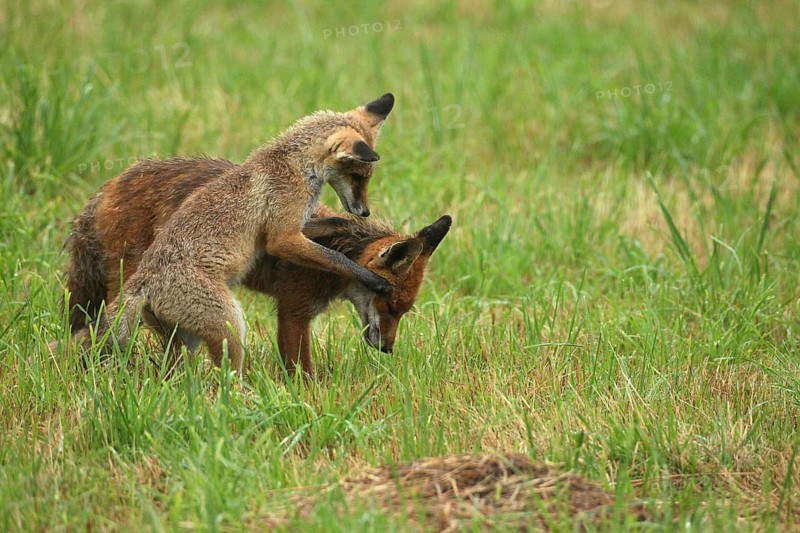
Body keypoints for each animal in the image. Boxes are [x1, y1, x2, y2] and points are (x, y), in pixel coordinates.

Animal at [58, 157, 451, 374]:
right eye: (389, 306)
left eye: (403, 312)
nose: (388, 349)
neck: (336, 255)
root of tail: (107, 187)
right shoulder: (293, 312)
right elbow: (302, 372)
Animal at [84, 94, 398, 374]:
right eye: (358, 177)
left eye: (367, 178)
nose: (365, 212)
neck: (296, 168)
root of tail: (142, 282)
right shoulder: (282, 238)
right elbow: (334, 257)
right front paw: (373, 279)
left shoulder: (291, 225)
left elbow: (332, 223)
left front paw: (353, 228)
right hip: (231, 325)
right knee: (227, 376)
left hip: (186, 339)